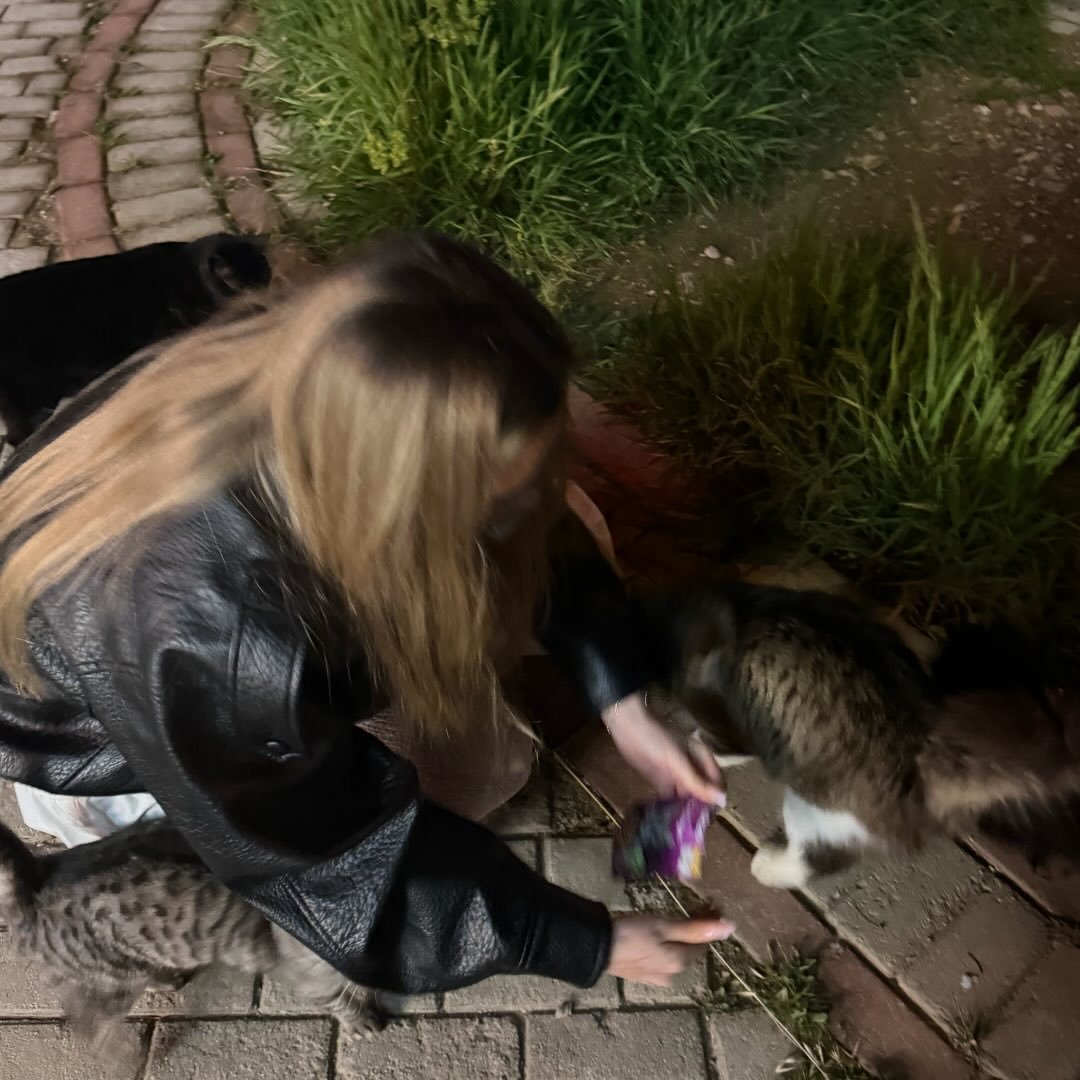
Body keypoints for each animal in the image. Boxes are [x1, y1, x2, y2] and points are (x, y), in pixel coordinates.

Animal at [0, 816, 381, 1048]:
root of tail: (36, 884)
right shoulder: (308, 974)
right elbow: (338, 998)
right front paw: (360, 1018)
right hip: (114, 976)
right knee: (96, 1020)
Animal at [653, 582, 1080, 889]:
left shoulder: (728, 718)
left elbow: (725, 744)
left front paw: (700, 745)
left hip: (816, 808)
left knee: (818, 857)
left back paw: (770, 867)